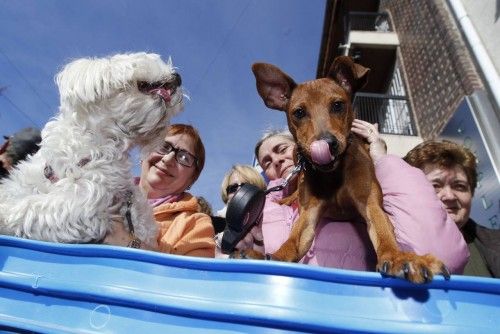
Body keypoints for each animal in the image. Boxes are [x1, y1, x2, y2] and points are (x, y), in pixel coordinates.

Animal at [244, 56, 452, 284]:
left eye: (337, 105)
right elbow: (293, 240)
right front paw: (274, 256)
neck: (333, 174)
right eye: (299, 112)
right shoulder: (309, 213)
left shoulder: (370, 203)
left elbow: (384, 232)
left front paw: (400, 258)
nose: (327, 144)